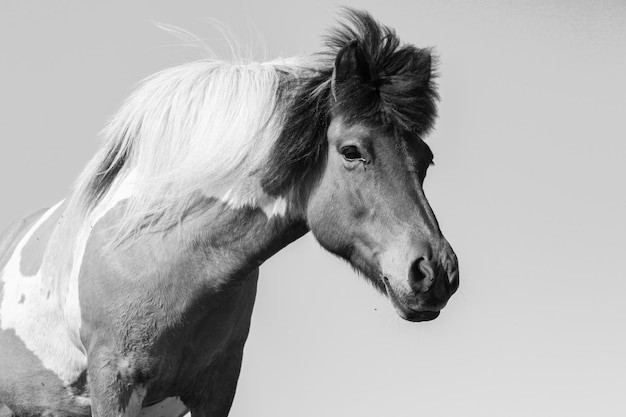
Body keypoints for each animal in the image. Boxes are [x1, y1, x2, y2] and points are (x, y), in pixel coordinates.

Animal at [1, 8, 458, 416]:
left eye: (426, 159)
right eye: (351, 151)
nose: (435, 271)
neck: (167, 255)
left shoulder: (217, 389)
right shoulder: (114, 382)